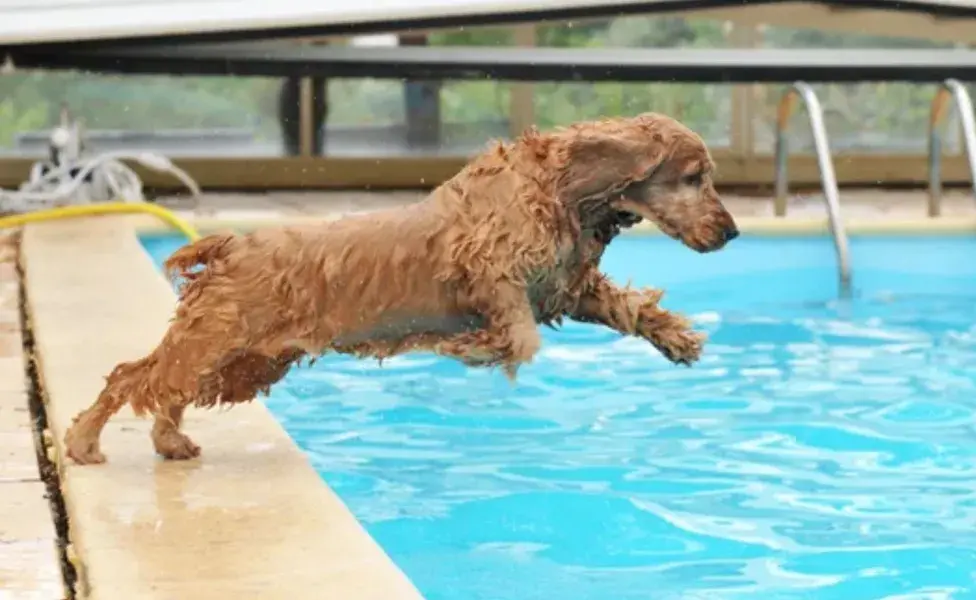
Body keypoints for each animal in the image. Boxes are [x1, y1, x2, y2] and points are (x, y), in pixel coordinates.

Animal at [63, 115, 740, 466]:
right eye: (694, 177)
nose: (732, 231)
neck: (566, 192)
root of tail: (231, 245)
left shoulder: (566, 289)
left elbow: (626, 307)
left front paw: (678, 339)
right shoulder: (489, 270)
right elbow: (518, 337)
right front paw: (472, 347)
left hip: (243, 364)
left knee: (166, 391)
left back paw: (169, 440)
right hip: (217, 343)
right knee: (131, 376)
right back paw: (82, 441)